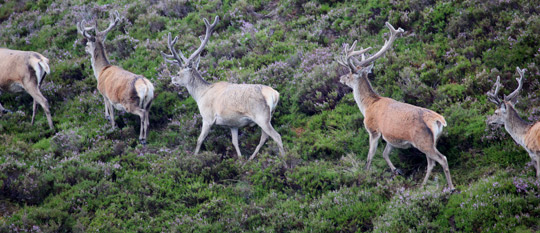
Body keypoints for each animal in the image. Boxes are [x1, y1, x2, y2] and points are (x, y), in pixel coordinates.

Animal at [77, 11, 155, 145]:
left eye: (87, 43)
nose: (85, 48)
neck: (101, 71)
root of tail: (146, 86)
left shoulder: (105, 93)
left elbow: (112, 113)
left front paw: (112, 127)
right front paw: (107, 117)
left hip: (130, 101)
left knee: (142, 114)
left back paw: (142, 138)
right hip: (149, 102)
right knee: (147, 118)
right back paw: (147, 136)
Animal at [161, 15, 284, 160]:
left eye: (179, 73)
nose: (172, 79)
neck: (200, 95)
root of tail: (274, 94)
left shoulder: (207, 117)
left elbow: (199, 140)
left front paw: (195, 157)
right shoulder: (233, 124)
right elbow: (235, 142)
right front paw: (240, 159)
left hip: (261, 115)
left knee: (277, 136)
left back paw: (285, 160)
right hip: (269, 115)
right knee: (264, 137)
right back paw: (250, 159)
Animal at [338, 21, 456, 190]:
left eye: (349, 74)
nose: (341, 78)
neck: (367, 106)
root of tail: (438, 120)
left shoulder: (373, 130)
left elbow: (370, 156)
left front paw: (365, 176)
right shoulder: (390, 137)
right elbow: (385, 154)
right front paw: (396, 171)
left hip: (423, 141)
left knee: (442, 159)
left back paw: (451, 187)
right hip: (432, 140)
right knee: (431, 162)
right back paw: (422, 186)